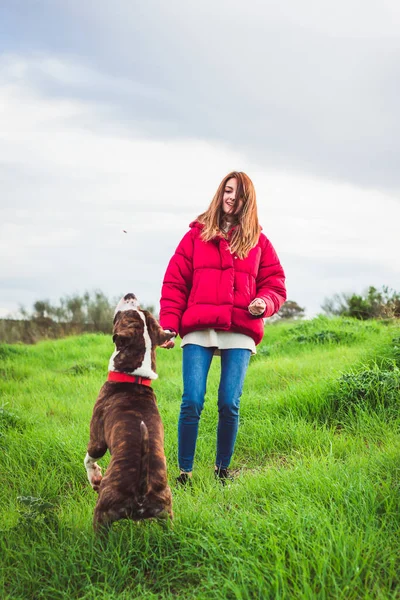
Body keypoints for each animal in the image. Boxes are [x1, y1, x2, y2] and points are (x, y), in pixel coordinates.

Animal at [83, 292, 174, 532]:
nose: (130, 295)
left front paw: (94, 477)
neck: (135, 377)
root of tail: (141, 491)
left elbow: (89, 458)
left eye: (126, 314)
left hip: (103, 512)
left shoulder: (97, 438)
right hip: (166, 511)